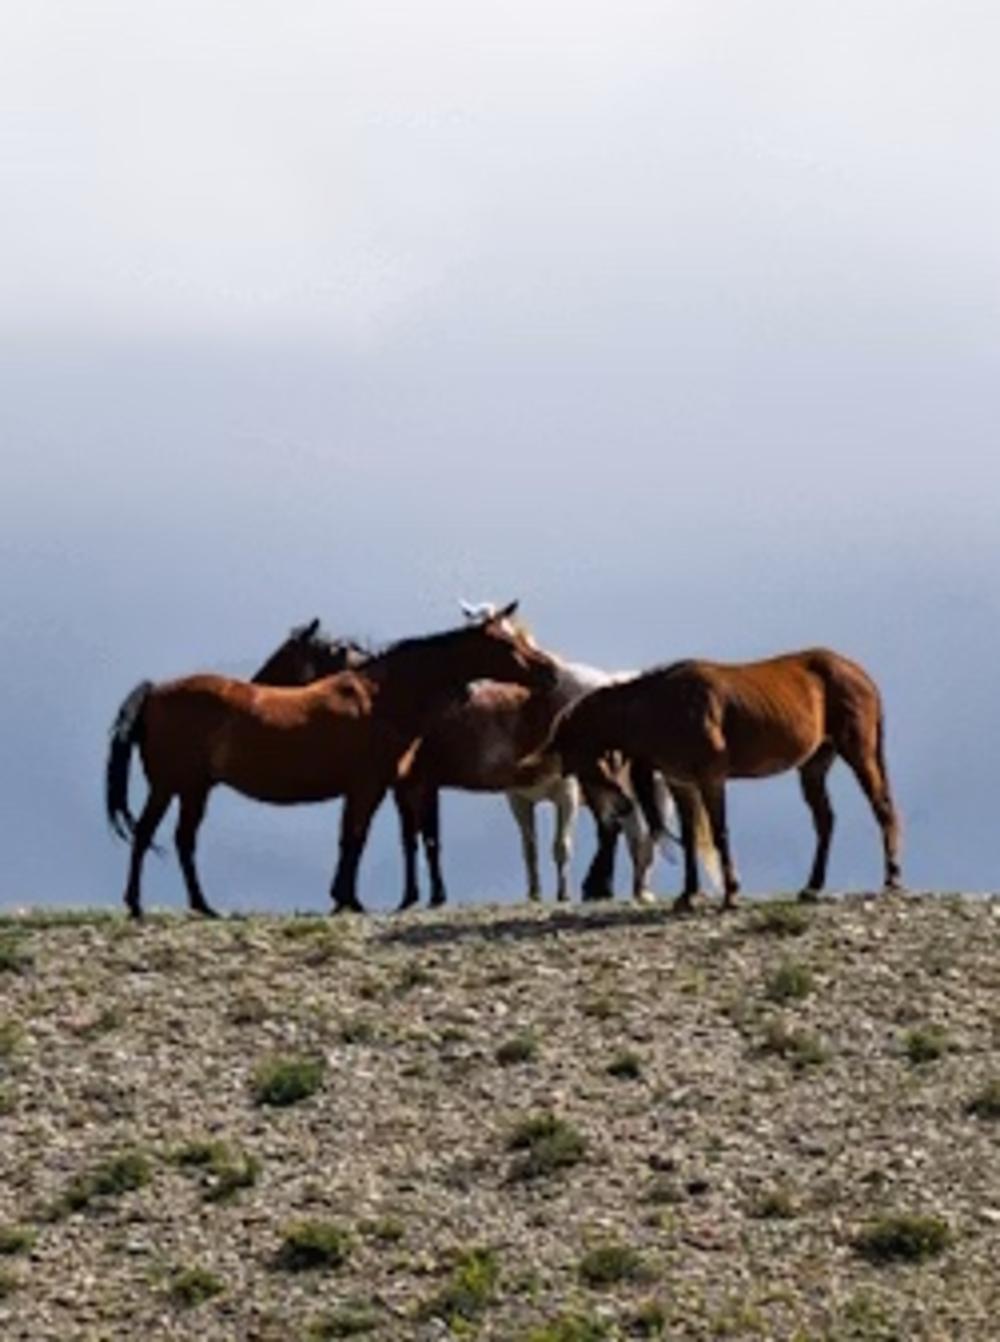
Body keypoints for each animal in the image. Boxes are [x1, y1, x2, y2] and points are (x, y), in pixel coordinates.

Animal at [105, 604, 555, 918]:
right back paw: (146, 905)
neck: (383, 697)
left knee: (174, 839)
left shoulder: (375, 788)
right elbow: (357, 838)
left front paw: (345, 897)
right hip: (175, 786)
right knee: (153, 835)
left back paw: (193, 905)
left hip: (188, 789)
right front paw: (348, 899)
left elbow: (356, 839)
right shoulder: (370, 787)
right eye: (507, 645)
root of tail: (155, 691)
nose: (549, 671)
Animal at [393, 601, 716, 910]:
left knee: (632, 832)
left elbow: (561, 846)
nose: (471, 691)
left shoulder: (567, 794)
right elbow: (528, 848)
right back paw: (633, 889)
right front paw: (535, 894)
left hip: (641, 790)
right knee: (636, 833)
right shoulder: (516, 798)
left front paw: (564, 894)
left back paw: (613, 888)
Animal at [547, 647, 902, 910]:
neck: (663, 706)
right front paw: (688, 895)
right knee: (825, 820)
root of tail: (860, 674)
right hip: (814, 765)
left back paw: (892, 879)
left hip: (858, 751)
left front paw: (731, 893)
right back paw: (812, 887)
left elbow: (719, 832)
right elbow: (690, 837)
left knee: (882, 808)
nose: (617, 806)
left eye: (575, 752)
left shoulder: (711, 778)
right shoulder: (681, 782)